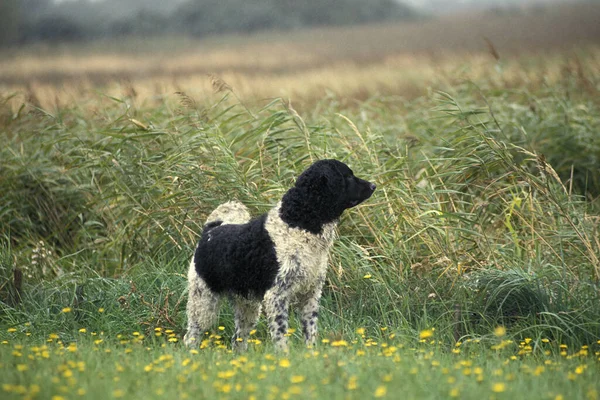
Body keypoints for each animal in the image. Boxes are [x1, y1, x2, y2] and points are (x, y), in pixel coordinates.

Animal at [185, 159, 378, 350]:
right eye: (348, 176)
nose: (373, 185)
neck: (299, 222)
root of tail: (211, 230)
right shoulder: (277, 296)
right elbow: (281, 336)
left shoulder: (310, 295)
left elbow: (310, 334)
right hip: (203, 302)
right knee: (191, 337)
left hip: (247, 306)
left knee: (237, 339)